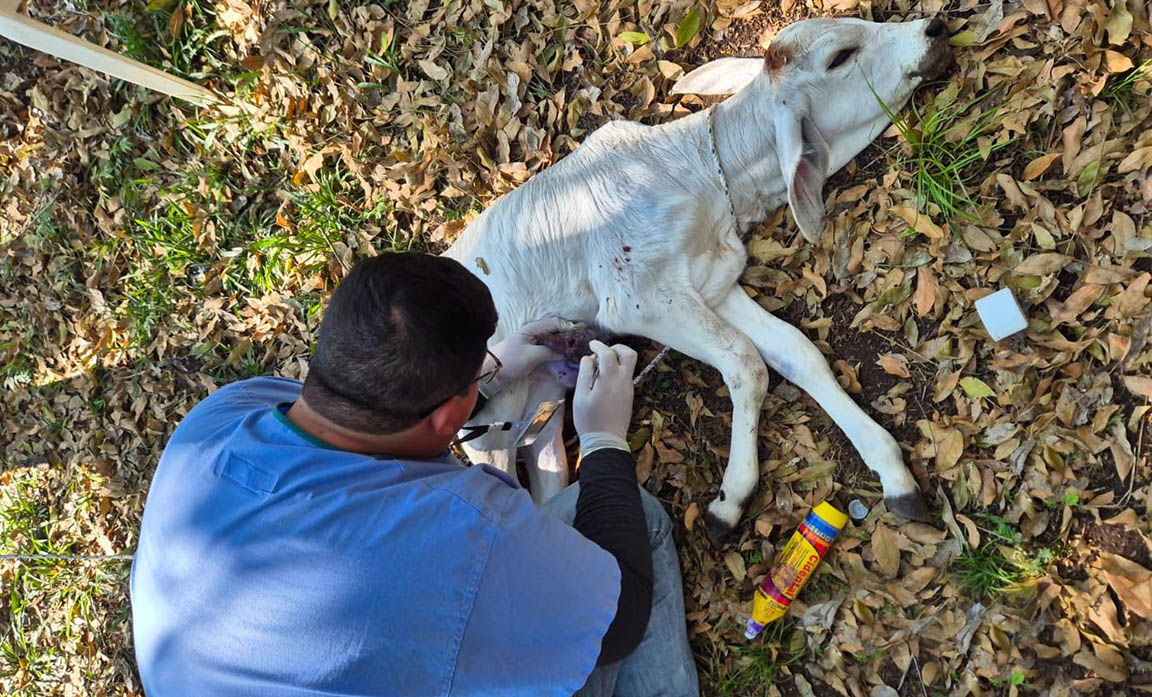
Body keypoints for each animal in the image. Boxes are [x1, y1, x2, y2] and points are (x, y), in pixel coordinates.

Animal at [443, 16, 953, 543]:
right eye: (840, 57)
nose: (935, 26)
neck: (697, 176)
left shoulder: (713, 282)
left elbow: (796, 353)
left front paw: (892, 470)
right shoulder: (638, 298)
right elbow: (746, 362)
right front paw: (731, 498)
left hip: (541, 412)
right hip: (491, 426)